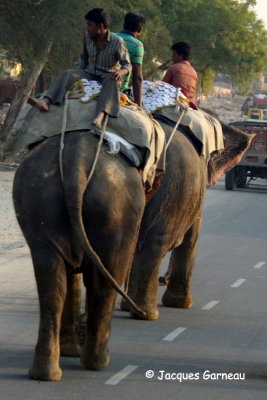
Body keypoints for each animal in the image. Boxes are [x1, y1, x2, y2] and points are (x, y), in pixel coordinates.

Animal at [12, 115, 251, 382]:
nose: (164, 279)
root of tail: (76, 160)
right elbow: (189, 239)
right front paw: (180, 304)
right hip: (125, 202)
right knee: (126, 262)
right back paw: (114, 345)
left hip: (40, 197)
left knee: (52, 278)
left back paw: (50, 369)